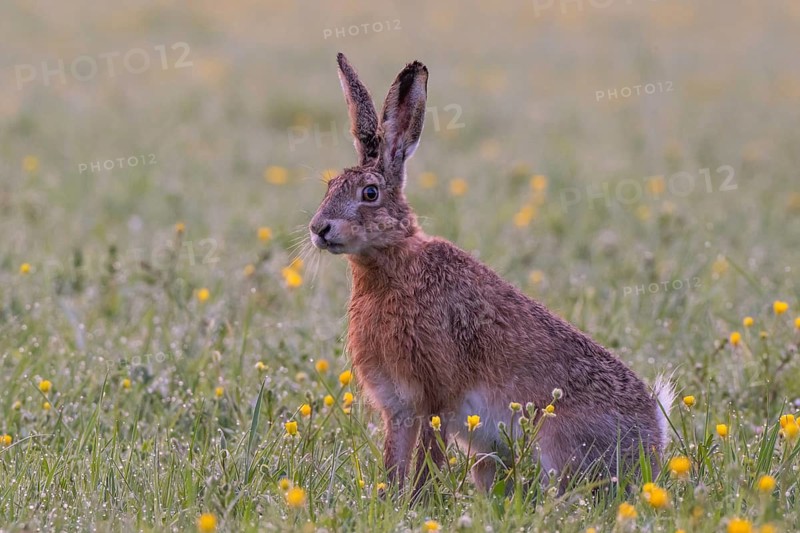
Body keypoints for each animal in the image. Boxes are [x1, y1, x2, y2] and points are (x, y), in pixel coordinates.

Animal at [309, 53, 675, 493]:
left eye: (369, 193)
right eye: (329, 186)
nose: (319, 228)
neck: (391, 265)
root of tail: (654, 434)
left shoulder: (435, 396)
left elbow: (427, 460)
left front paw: (418, 501)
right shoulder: (397, 406)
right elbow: (395, 462)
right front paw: (391, 500)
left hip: (557, 445)